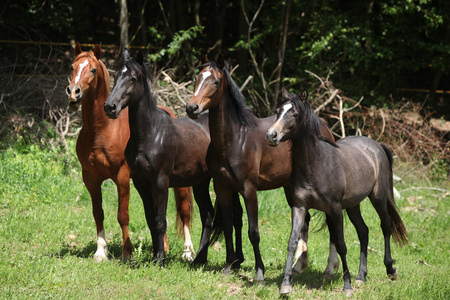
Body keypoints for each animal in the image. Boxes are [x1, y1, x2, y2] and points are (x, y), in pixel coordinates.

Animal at [66, 43, 195, 262]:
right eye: (73, 67)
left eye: (93, 70)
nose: (74, 92)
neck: (102, 130)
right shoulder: (90, 178)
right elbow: (98, 213)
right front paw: (101, 251)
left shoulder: (122, 177)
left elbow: (122, 215)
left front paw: (127, 252)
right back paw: (163, 248)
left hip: (180, 185)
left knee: (184, 211)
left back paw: (187, 252)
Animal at [266, 89, 410, 296]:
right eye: (278, 111)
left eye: (295, 114)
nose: (271, 135)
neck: (316, 164)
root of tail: (376, 145)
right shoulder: (299, 207)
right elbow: (293, 242)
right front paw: (286, 283)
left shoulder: (335, 210)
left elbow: (341, 245)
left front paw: (347, 286)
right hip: (353, 205)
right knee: (364, 231)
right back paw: (361, 276)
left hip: (378, 199)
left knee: (386, 226)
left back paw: (390, 270)